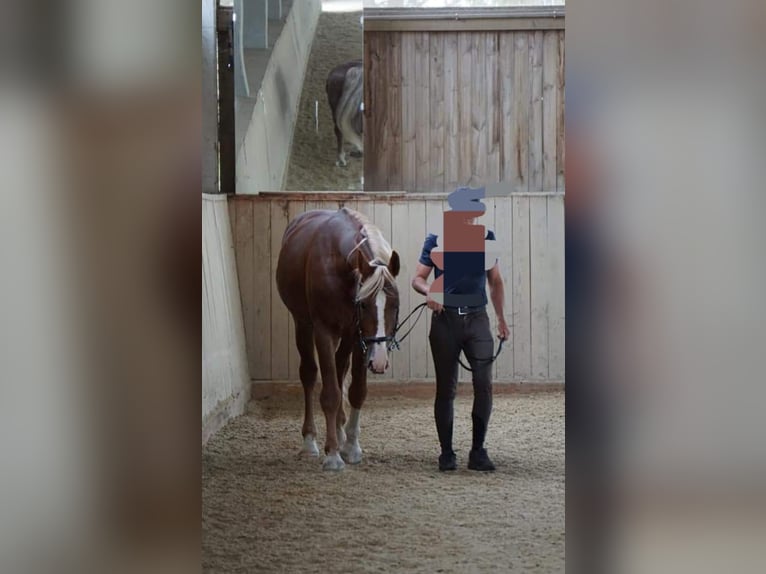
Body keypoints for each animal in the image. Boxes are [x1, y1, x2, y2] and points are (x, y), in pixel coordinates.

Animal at [274, 209, 400, 470]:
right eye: (364, 305)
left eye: (394, 304)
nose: (379, 361)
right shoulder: (324, 332)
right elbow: (330, 393)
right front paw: (332, 454)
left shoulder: (360, 337)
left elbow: (356, 391)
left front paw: (351, 447)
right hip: (303, 325)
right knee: (310, 375)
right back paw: (310, 442)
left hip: (349, 338)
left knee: (341, 369)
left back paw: (340, 433)